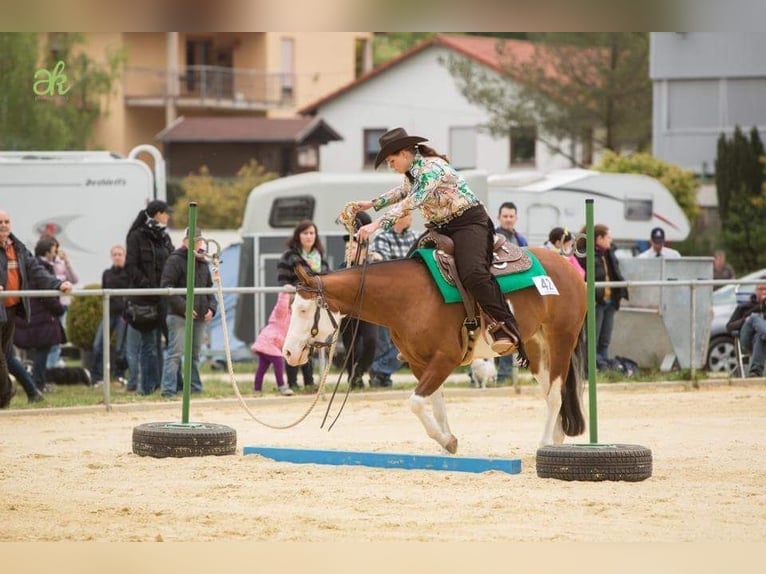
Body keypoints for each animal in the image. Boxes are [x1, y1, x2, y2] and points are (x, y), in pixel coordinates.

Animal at [282, 247, 587, 454]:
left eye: (304, 309)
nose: (287, 353)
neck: (409, 296)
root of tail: (569, 267)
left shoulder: (446, 358)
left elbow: (415, 402)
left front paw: (447, 441)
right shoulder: (421, 363)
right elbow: (436, 405)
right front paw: (447, 443)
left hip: (561, 339)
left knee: (555, 395)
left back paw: (544, 443)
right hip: (536, 346)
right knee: (551, 392)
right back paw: (556, 439)